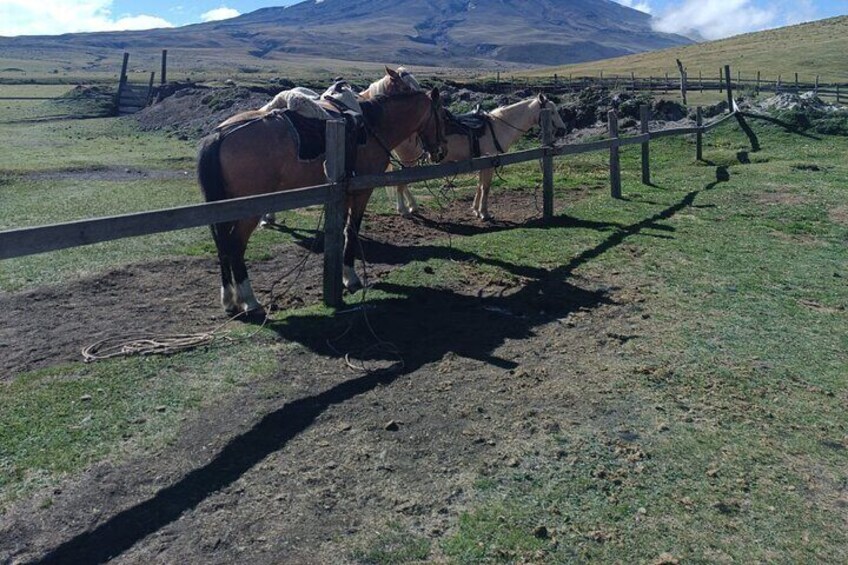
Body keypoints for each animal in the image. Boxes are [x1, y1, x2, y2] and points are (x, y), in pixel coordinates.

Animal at [197, 89, 450, 318]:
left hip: (224, 208)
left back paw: (229, 299)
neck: (373, 126)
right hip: (249, 210)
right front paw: (351, 278)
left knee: (223, 246)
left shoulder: (342, 194)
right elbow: (352, 231)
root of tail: (219, 135)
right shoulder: (361, 192)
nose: (441, 151)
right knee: (235, 247)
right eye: (442, 114)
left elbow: (342, 232)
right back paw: (249, 300)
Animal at [394, 93, 568, 219]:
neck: (498, 127)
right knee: (400, 183)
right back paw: (404, 210)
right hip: (408, 161)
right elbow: (486, 187)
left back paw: (412, 207)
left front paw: (475, 210)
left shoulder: (480, 163)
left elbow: (479, 186)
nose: (563, 130)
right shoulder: (489, 163)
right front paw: (484, 213)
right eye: (552, 111)